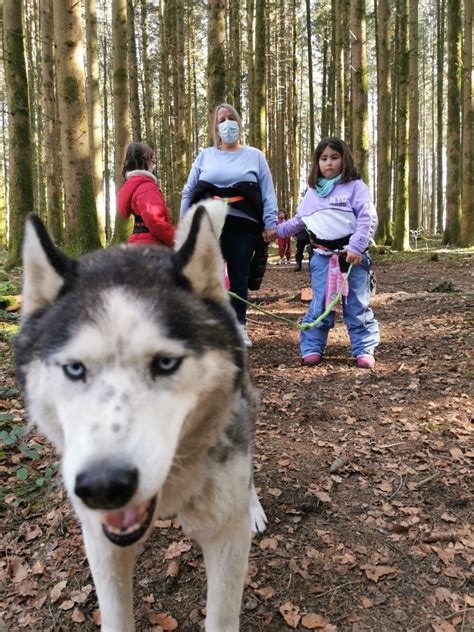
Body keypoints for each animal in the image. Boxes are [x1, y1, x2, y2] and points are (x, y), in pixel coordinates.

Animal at [15, 202, 266, 632]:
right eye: (75, 369)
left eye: (165, 363)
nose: (102, 486)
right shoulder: (101, 541)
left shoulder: (225, 538)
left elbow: (221, 616)